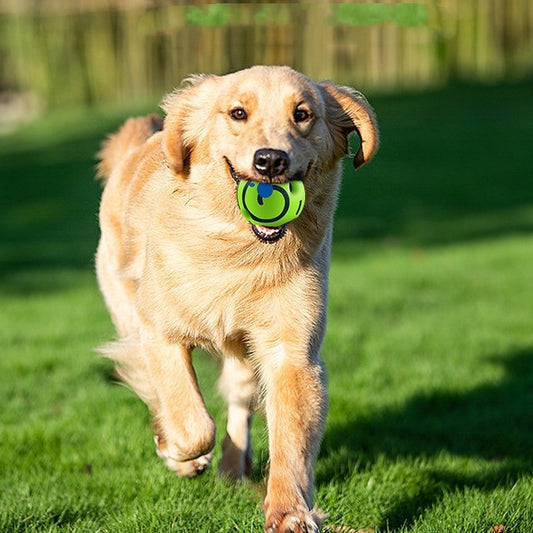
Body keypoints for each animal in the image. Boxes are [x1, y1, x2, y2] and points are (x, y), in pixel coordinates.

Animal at [96, 64, 378, 528]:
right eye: (238, 113)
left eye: (303, 114)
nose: (270, 159)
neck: (237, 251)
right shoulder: (158, 333)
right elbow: (192, 423)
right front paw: (176, 452)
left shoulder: (291, 351)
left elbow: (290, 440)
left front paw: (289, 513)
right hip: (124, 305)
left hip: (244, 352)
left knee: (240, 401)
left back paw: (232, 467)